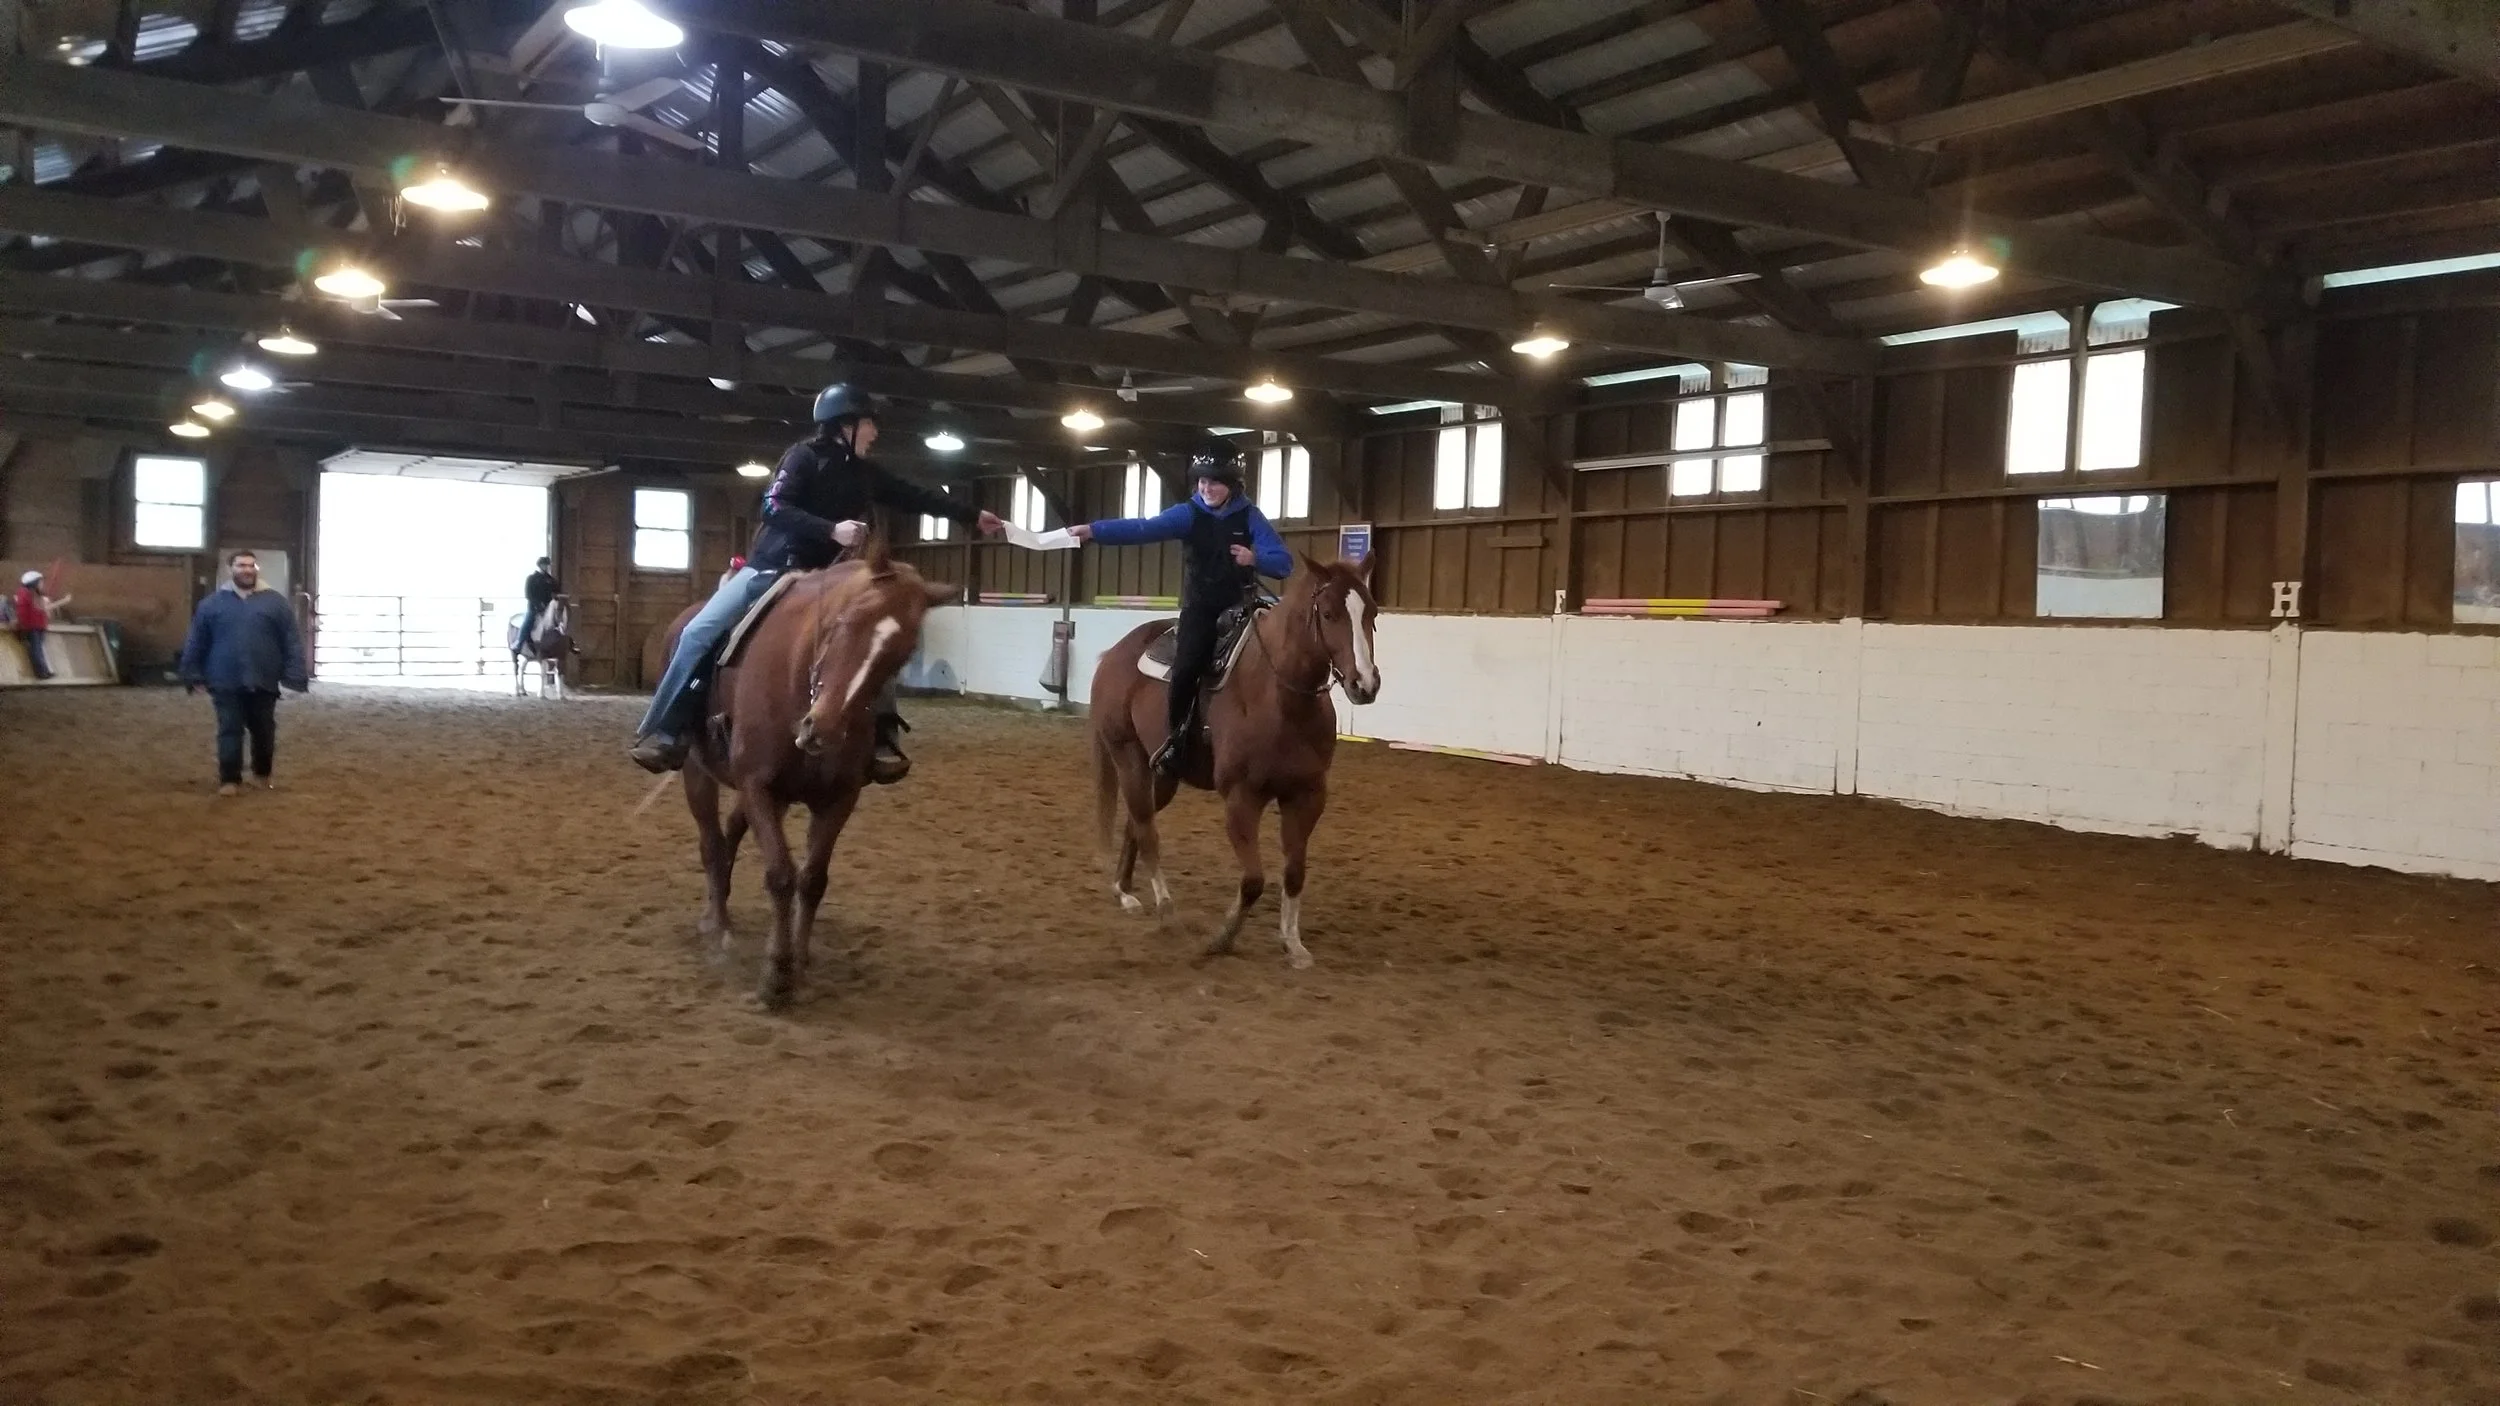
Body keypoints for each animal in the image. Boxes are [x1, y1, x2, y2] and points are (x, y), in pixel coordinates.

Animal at [661, 541, 956, 1008]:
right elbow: (780, 875)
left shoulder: (839, 797)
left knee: (730, 834)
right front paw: (775, 976)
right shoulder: (758, 785)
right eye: (844, 622)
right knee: (711, 842)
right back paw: (718, 926)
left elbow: (813, 880)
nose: (823, 729)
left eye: (903, 652)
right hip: (698, 770)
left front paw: (799, 963)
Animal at [1089, 554, 1381, 968]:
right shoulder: (1242, 799)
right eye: (1328, 614)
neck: (1280, 699)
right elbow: (1254, 880)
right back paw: (1165, 910)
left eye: (1371, 612)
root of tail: (1112, 655)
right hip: (1127, 757)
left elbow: (1294, 873)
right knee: (1146, 830)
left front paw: (1293, 944)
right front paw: (1221, 938)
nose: (1365, 684)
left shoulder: (1307, 797)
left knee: (1134, 822)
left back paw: (1124, 890)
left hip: (1162, 774)